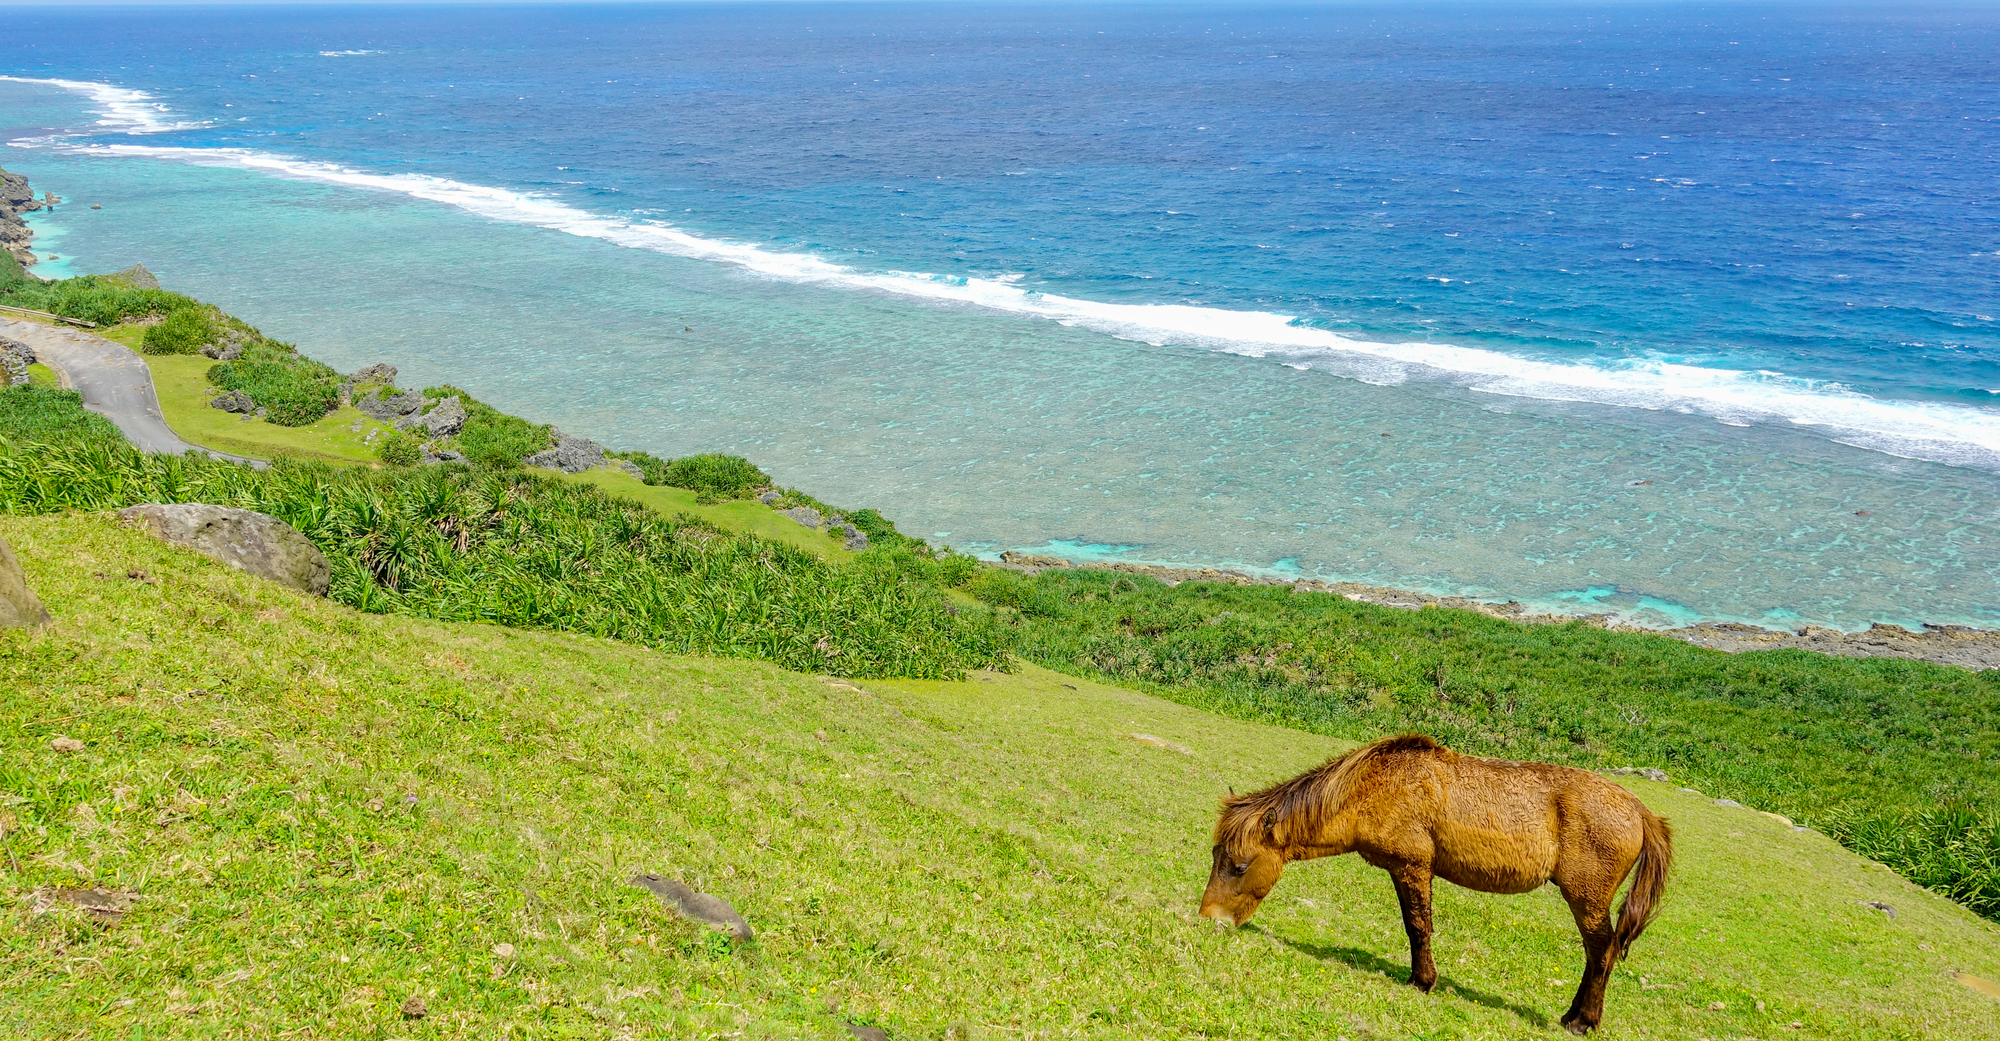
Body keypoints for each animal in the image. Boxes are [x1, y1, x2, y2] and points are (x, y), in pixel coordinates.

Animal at [1200, 732, 1672, 1032]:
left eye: (1239, 866)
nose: (1208, 918)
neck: (1376, 787)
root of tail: (1638, 809)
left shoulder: (1413, 867)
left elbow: (1418, 927)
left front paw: (1422, 981)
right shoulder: (1400, 869)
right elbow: (1414, 927)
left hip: (1586, 898)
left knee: (1601, 953)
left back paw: (1582, 1021)